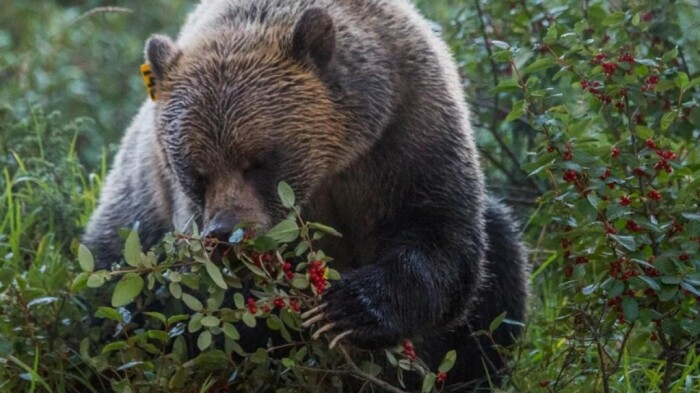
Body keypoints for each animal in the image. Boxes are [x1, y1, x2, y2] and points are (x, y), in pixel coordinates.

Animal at [83, 0, 524, 388]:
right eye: (195, 173)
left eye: (259, 160)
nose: (226, 234)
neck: (334, 165)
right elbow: (237, 316)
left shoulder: (406, 131)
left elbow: (442, 237)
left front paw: (348, 308)